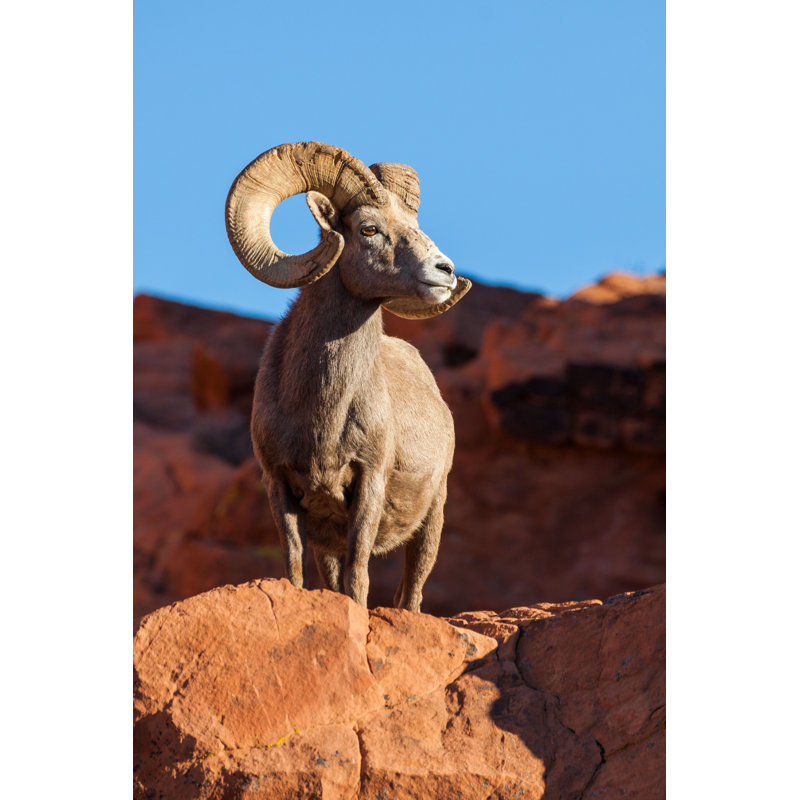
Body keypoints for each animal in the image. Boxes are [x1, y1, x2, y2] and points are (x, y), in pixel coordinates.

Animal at [225, 142, 470, 611]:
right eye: (368, 229)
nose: (445, 271)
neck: (321, 413)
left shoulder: (368, 485)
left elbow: (359, 577)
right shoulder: (281, 489)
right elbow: (295, 570)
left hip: (433, 518)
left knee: (412, 595)